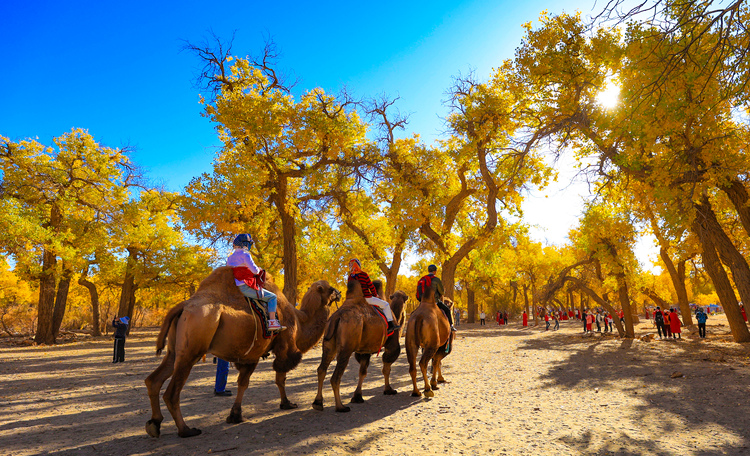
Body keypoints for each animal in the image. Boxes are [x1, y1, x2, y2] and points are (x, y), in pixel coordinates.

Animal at [143, 268, 340, 438]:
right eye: (330, 289)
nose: (338, 293)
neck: (300, 320)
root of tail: (183, 306)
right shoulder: (284, 347)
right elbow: (280, 378)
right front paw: (287, 404)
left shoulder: (249, 354)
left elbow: (243, 383)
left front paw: (235, 415)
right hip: (192, 348)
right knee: (172, 392)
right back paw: (186, 430)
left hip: (175, 351)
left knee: (153, 380)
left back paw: (154, 424)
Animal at [312, 282, 412, 414]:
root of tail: (337, 317)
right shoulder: (392, 345)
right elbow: (386, 368)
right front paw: (388, 389)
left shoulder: (364, 350)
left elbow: (362, 372)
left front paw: (357, 396)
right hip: (346, 346)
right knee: (335, 377)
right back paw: (341, 407)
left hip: (328, 343)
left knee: (321, 369)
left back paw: (318, 403)